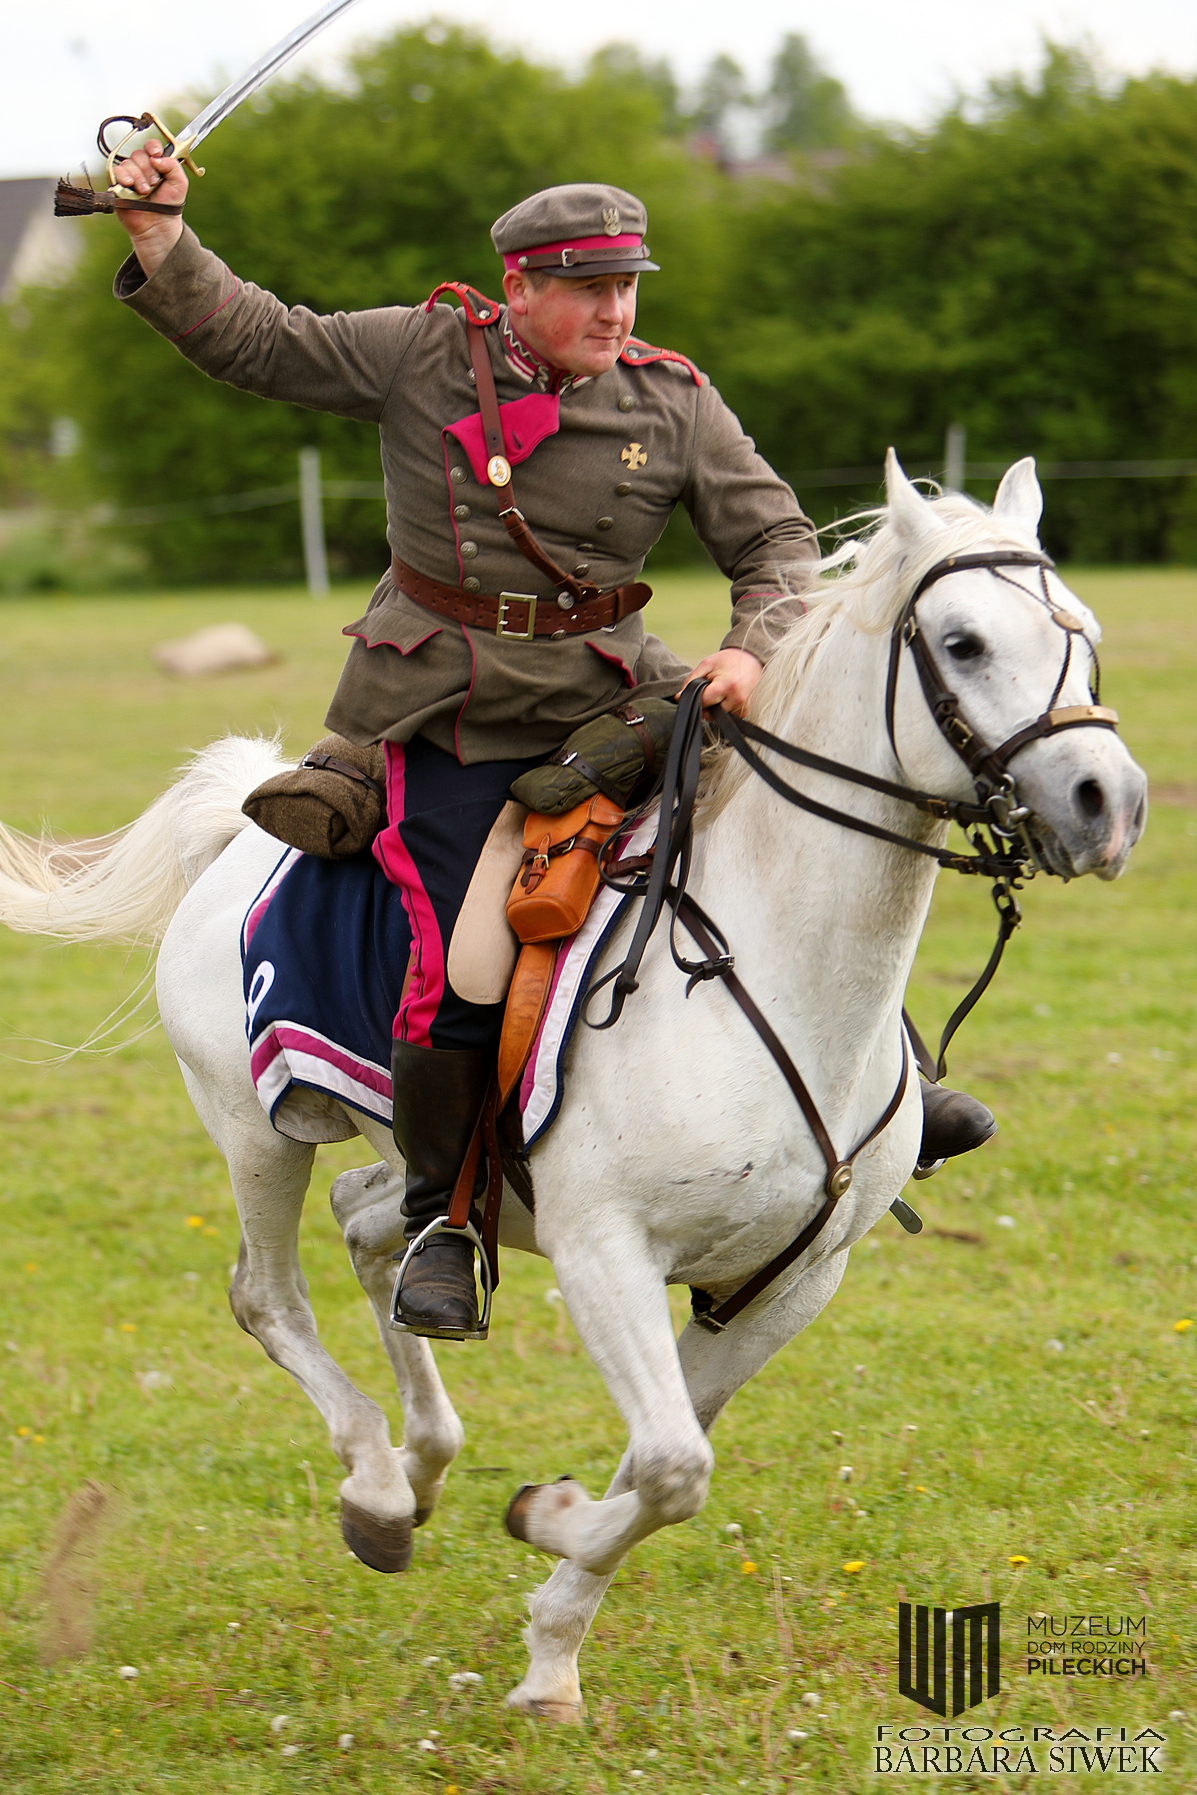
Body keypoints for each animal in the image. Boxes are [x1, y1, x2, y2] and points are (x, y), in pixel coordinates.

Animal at [0, 454, 1146, 1719]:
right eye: (961, 642)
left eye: (1082, 635)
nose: (1107, 801)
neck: (775, 970)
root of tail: (242, 830)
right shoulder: (606, 1250)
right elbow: (675, 1465)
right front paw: (548, 1548)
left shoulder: (792, 1280)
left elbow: (665, 1455)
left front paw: (551, 1622)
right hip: (261, 1132)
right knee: (269, 1295)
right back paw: (378, 1488)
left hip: (430, 1175)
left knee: (376, 1231)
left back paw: (420, 1458)